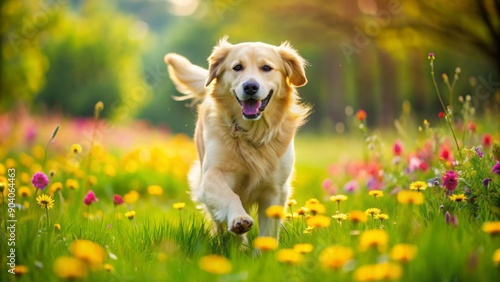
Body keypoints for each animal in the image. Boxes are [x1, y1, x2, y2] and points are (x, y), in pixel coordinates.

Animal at [164, 37, 310, 245]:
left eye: (266, 68)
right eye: (237, 67)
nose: (250, 87)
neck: (252, 134)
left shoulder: (276, 189)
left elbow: (268, 230)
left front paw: (263, 252)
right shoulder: (211, 175)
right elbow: (230, 196)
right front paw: (239, 219)